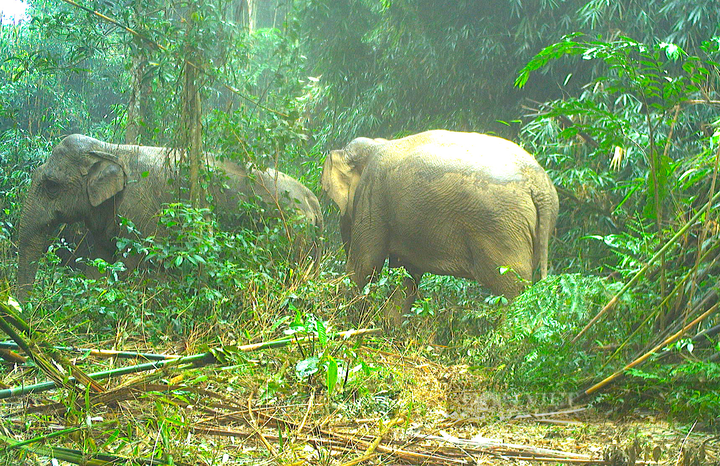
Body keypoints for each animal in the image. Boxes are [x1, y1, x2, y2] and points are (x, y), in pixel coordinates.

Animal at [16, 134, 323, 302]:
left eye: (51, 185)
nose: (24, 310)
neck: (111, 149)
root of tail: (312, 198)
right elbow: (101, 262)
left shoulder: (141, 210)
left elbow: (133, 263)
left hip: (290, 229)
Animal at [322, 129, 558, 321]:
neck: (375, 144)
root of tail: (540, 184)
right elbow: (407, 274)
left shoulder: (373, 194)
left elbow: (365, 265)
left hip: (502, 227)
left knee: (511, 287)